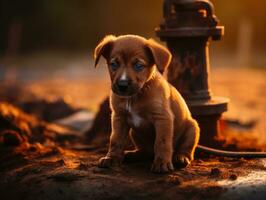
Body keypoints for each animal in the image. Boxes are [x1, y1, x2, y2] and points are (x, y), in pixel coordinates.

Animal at [93, 35, 200, 173]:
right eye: (114, 64)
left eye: (139, 65)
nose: (122, 85)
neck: (134, 97)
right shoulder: (119, 117)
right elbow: (115, 140)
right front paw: (111, 158)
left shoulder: (163, 118)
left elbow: (162, 142)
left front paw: (162, 163)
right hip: (135, 133)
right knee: (147, 152)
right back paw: (132, 155)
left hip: (193, 128)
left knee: (186, 149)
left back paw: (181, 157)